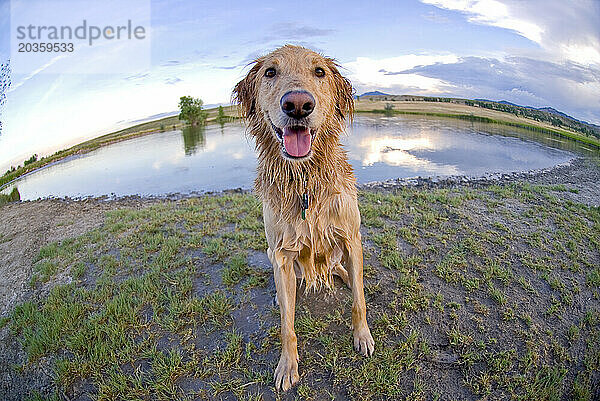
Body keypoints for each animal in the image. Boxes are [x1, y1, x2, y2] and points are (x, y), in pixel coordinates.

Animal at [232, 45, 372, 390]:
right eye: (270, 72)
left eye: (319, 72)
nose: (298, 104)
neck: (305, 177)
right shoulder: (281, 253)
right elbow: (287, 325)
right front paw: (287, 365)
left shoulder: (352, 238)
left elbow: (359, 300)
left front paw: (362, 335)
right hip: (275, 258)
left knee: (346, 274)